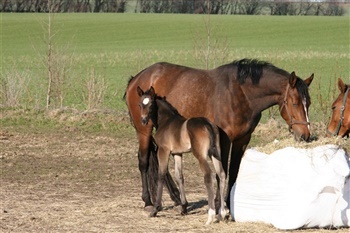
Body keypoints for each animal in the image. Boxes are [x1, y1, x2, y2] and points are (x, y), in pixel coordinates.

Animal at [123, 58, 314, 211]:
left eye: (309, 103)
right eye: (295, 102)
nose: (305, 134)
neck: (241, 94)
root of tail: (136, 79)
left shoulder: (242, 140)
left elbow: (234, 172)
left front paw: (229, 204)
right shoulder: (224, 139)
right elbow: (220, 171)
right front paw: (218, 204)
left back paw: (176, 197)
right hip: (144, 130)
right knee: (144, 161)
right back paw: (148, 201)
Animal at [137, 86, 227, 225]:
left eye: (151, 104)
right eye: (140, 104)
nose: (143, 120)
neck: (165, 121)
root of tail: (207, 124)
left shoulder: (163, 150)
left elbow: (161, 175)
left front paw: (155, 209)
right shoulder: (177, 153)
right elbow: (179, 176)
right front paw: (184, 208)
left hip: (201, 155)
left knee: (208, 175)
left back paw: (211, 215)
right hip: (215, 153)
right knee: (221, 174)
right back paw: (221, 213)